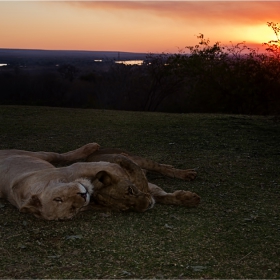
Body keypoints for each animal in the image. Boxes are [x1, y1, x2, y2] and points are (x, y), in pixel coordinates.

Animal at [0, 144, 153, 219]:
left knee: (58, 155)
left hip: (35, 155)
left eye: (58, 199)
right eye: (73, 209)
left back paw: (92, 146)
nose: (83, 195)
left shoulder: (74, 168)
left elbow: (113, 168)